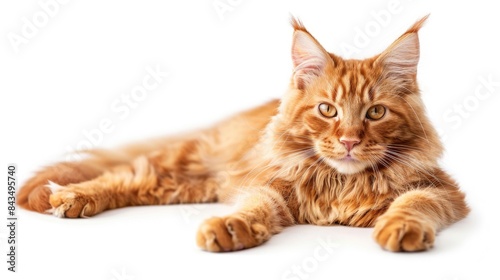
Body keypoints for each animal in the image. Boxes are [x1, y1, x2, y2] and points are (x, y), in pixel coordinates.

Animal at [15, 16, 468, 253]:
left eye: (375, 113)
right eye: (327, 110)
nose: (350, 141)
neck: (339, 181)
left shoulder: (443, 191)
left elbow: (414, 203)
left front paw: (401, 229)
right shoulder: (267, 185)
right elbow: (255, 207)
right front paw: (232, 227)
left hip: (186, 186)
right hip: (181, 167)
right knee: (120, 176)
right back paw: (72, 198)